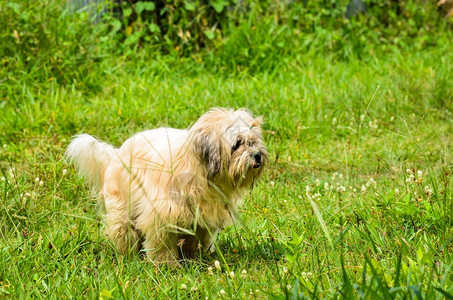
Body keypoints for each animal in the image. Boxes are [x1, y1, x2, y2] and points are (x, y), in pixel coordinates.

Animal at [65, 109, 266, 264]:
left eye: (253, 141)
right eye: (237, 144)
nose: (257, 155)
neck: (200, 172)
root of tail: (116, 155)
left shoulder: (202, 218)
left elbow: (198, 239)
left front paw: (196, 259)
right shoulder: (161, 214)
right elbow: (161, 244)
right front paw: (166, 265)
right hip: (123, 210)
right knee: (125, 232)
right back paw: (129, 256)